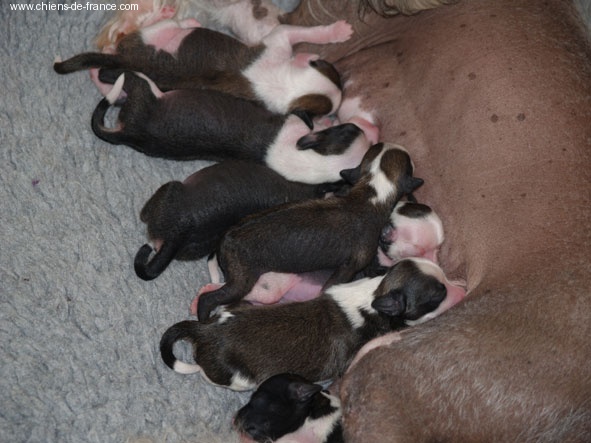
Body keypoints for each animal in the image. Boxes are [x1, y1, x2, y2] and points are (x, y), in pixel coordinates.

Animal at [54, 18, 352, 118]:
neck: (288, 85)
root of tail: (133, 61)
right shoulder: (279, 38)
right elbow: (307, 31)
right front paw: (338, 31)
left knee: (105, 71)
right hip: (155, 32)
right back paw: (186, 19)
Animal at [160, 260, 446, 392]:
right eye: (436, 295)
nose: (450, 286)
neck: (376, 292)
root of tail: (205, 330)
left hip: (240, 306)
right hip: (240, 379)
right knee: (205, 373)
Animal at [197, 144, 424, 320]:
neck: (373, 191)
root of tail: (224, 239)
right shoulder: (348, 267)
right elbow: (335, 283)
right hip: (241, 280)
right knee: (208, 298)